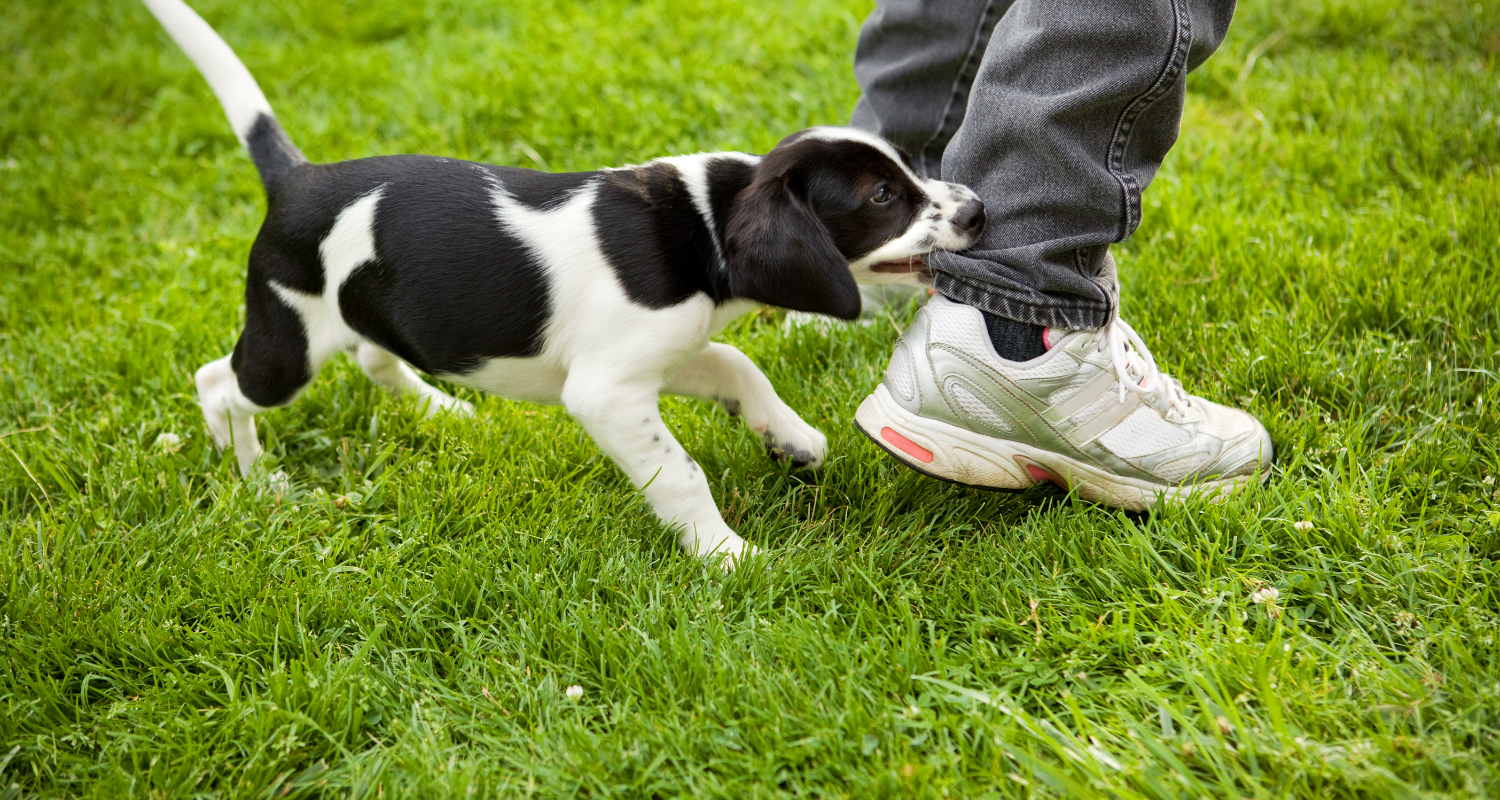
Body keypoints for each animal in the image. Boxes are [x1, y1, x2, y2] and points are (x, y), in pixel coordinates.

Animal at [141, 0, 984, 564]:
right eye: (884, 197)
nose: (978, 210)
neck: (704, 222)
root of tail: (298, 178)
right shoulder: (607, 391)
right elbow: (682, 474)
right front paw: (726, 554)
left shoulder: (662, 352)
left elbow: (739, 364)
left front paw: (790, 437)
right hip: (288, 340)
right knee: (219, 382)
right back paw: (257, 479)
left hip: (371, 307)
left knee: (377, 354)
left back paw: (443, 409)